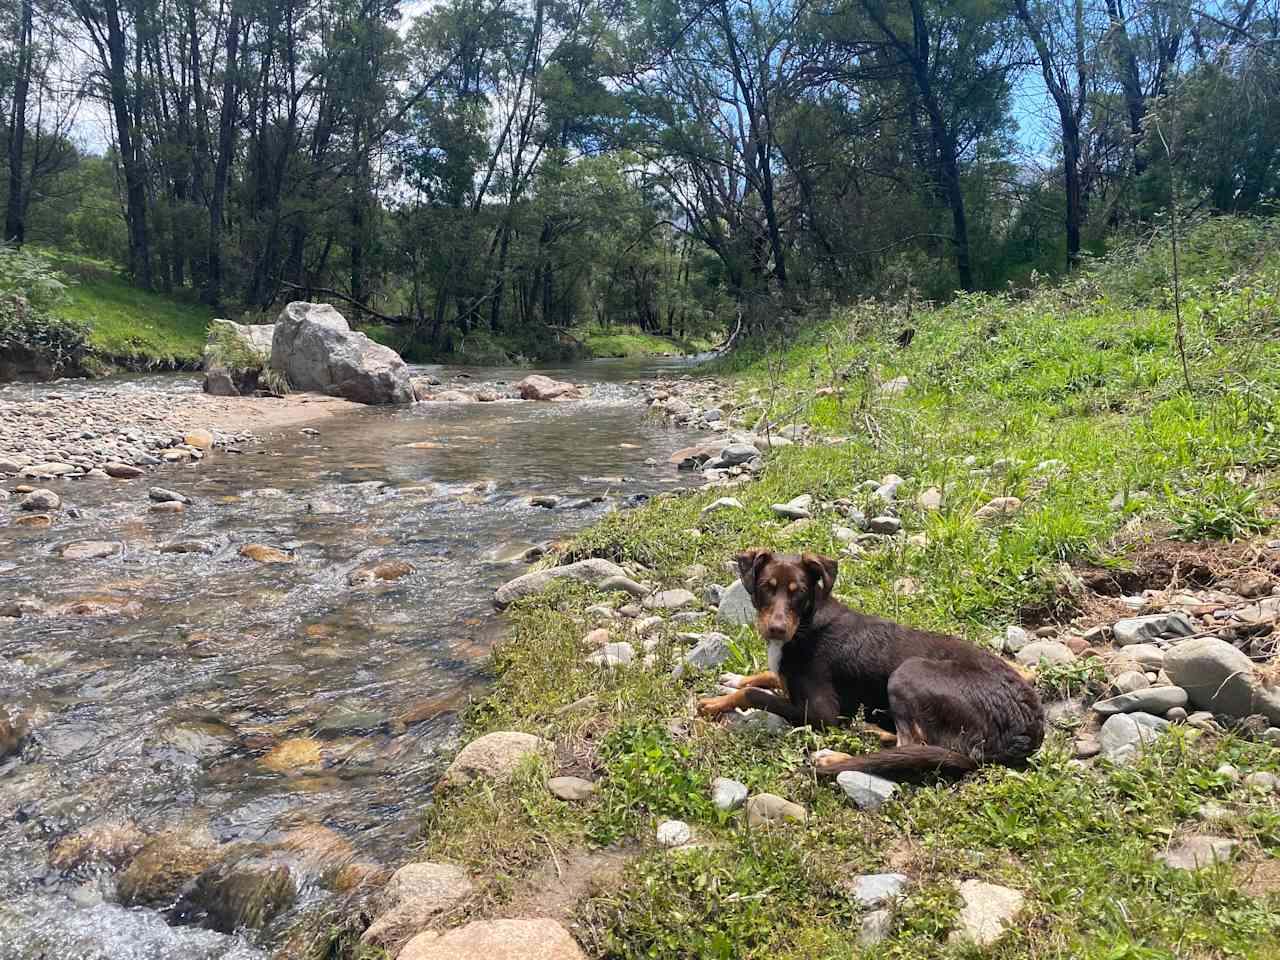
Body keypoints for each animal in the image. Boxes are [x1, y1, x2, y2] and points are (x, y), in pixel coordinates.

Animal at [696, 547, 1044, 783]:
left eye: (800, 593)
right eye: (767, 587)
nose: (776, 629)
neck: (806, 624)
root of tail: (1026, 731)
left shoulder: (824, 714)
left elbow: (756, 694)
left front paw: (715, 703)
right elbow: (767, 675)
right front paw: (733, 678)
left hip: (909, 672)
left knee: (914, 744)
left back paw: (834, 756)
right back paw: (872, 731)